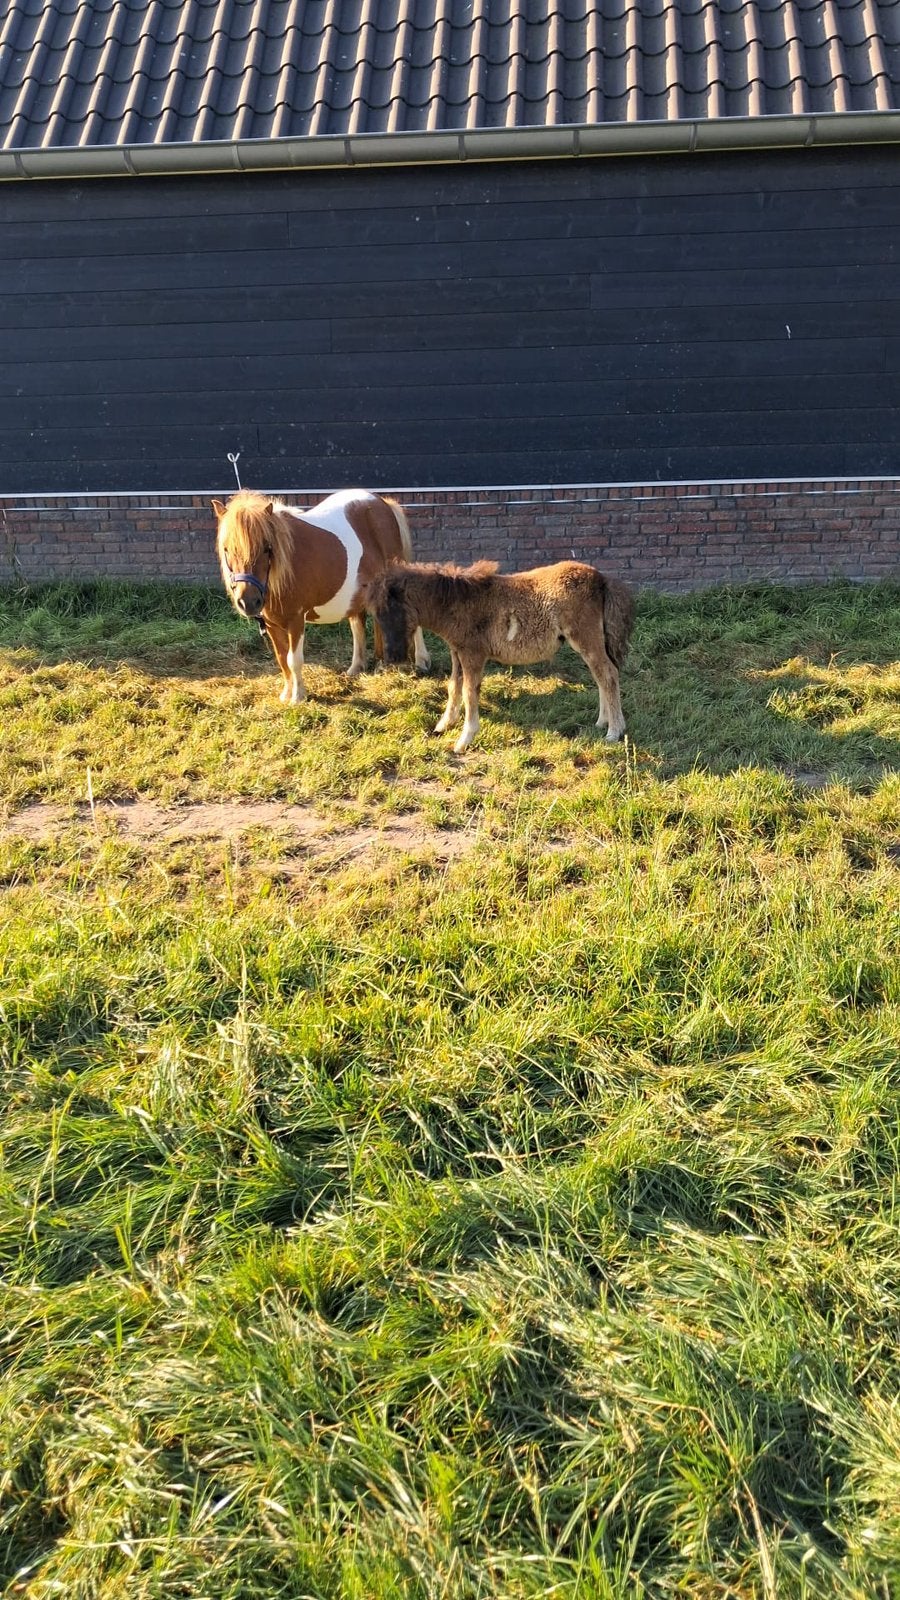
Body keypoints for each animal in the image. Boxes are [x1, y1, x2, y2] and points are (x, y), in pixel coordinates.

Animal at [212, 489, 430, 704]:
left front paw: (298, 697)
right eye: (226, 549)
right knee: (359, 624)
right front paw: (286, 694)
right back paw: (363, 666)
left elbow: (294, 660)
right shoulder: (272, 624)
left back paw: (421, 661)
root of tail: (382, 502)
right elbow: (282, 659)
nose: (248, 602)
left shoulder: (296, 620)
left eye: (267, 548)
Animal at [365, 558, 634, 753]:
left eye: (391, 609)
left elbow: (469, 692)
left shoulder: (473, 654)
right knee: (601, 676)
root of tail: (601, 579)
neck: (457, 602)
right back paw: (602, 722)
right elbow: (453, 686)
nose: (393, 657)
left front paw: (464, 740)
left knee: (608, 674)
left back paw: (614, 731)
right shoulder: (457, 652)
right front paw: (443, 725)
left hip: (586, 638)